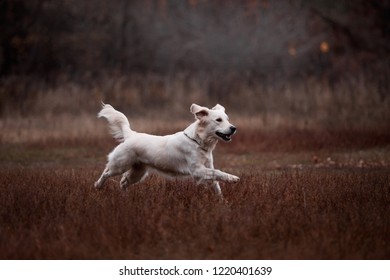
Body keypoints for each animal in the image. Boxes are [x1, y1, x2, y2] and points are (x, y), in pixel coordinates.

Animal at [96, 103, 239, 197]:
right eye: (218, 120)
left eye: (227, 119)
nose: (233, 128)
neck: (198, 141)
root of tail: (131, 135)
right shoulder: (197, 170)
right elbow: (218, 173)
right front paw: (233, 178)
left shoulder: (208, 166)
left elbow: (216, 183)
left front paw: (222, 201)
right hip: (120, 165)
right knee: (106, 172)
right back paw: (97, 186)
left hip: (138, 172)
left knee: (123, 182)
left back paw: (124, 197)